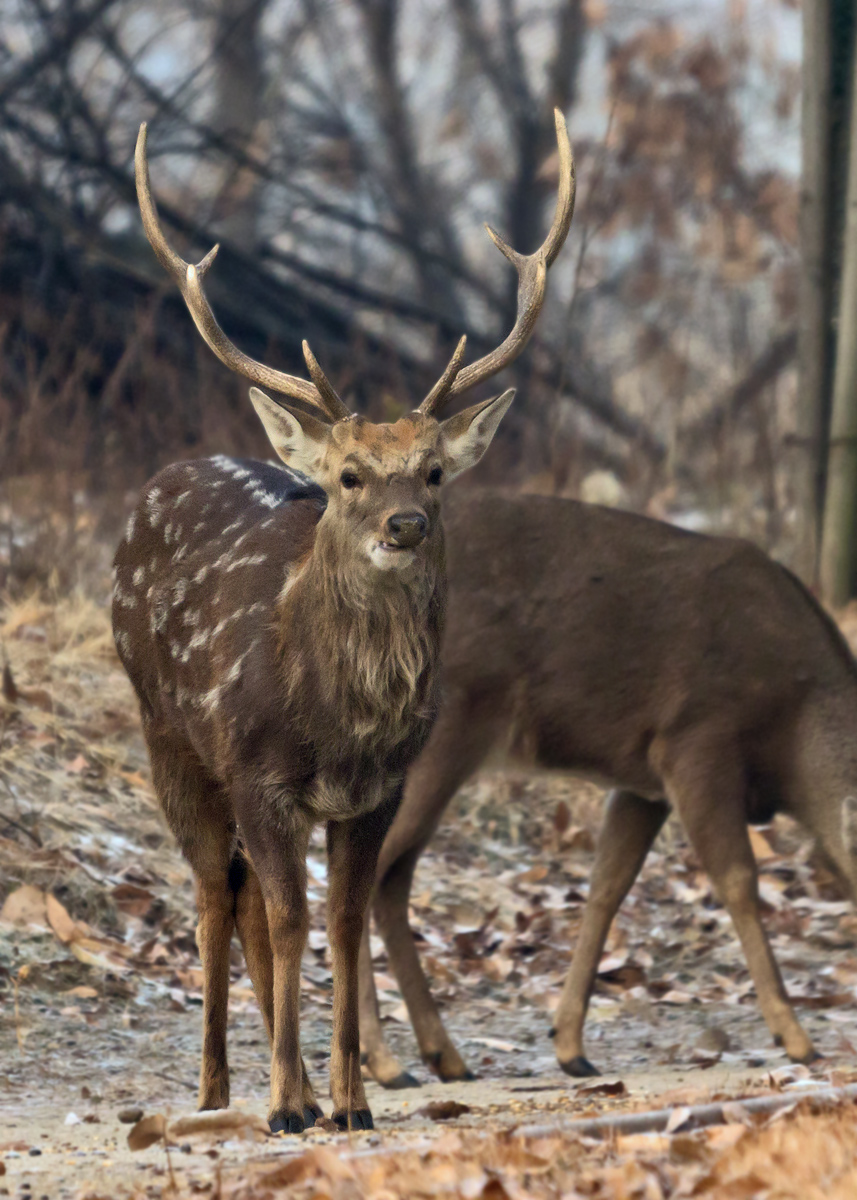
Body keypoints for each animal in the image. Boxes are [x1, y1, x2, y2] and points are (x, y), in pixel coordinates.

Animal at [111, 114, 575, 1133]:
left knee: (242, 897)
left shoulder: (379, 790)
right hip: (169, 736)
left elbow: (342, 921)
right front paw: (289, 1103)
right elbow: (291, 921)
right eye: (350, 475)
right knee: (213, 896)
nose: (404, 524)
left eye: (434, 471)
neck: (334, 723)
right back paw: (216, 1089)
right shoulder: (258, 772)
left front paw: (350, 1100)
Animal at [356, 490, 857, 1089]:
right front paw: (797, 1038)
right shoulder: (696, 739)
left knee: (391, 882)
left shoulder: (642, 782)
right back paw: (383, 1061)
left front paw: (569, 1045)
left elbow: (607, 888)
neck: (793, 733)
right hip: (445, 732)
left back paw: (443, 1056)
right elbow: (738, 881)